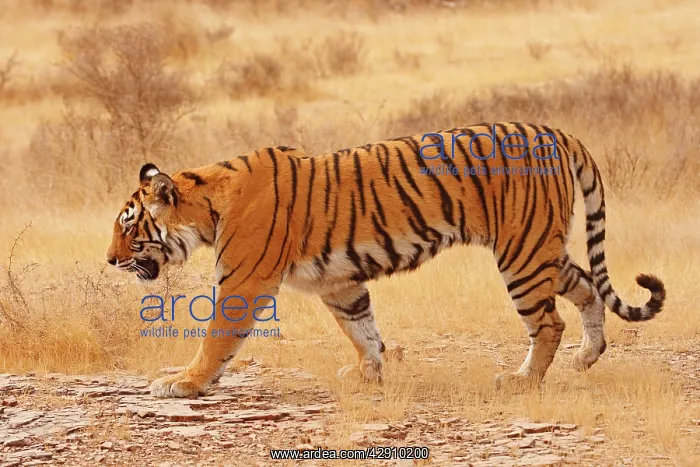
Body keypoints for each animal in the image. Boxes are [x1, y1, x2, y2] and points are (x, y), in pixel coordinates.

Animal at [106, 121, 666, 399]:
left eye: (129, 228)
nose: (109, 261)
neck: (207, 204)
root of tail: (555, 131)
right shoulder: (338, 282)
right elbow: (362, 328)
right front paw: (368, 373)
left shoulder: (243, 282)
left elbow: (215, 341)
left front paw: (182, 383)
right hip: (542, 247)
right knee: (588, 289)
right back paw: (586, 357)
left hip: (522, 253)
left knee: (549, 323)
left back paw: (523, 382)